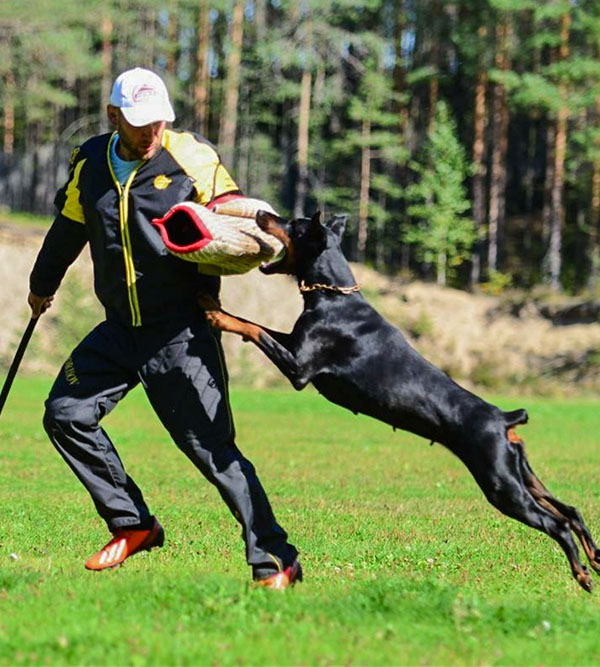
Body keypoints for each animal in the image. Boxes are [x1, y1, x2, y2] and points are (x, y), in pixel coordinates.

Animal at [200, 211, 600, 592]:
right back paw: (594, 558)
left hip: (501, 484)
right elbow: (263, 328)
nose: (262, 216)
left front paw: (217, 313)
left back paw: (581, 573)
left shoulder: (299, 368)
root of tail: (504, 418)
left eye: (295, 225)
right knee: (570, 511)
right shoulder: (294, 346)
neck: (335, 296)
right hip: (520, 474)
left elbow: (253, 327)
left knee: (556, 523)